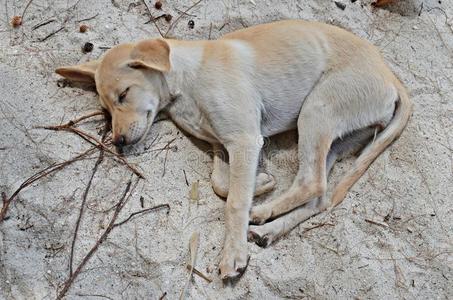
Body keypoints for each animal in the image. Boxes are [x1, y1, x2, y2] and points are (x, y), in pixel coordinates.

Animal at [55, 20, 410, 282]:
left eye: (124, 94)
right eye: (105, 109)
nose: (118, 142)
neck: (187, 81)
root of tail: (392, 78)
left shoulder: (244, 140)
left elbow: (235, 202)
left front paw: (234, 254)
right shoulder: (221, 145)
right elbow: (221, 185)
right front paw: (261, 183)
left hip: (317, 110)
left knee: (313, 182)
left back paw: (261, 214)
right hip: (337, 139)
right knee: (319, 194)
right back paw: (268, 227)